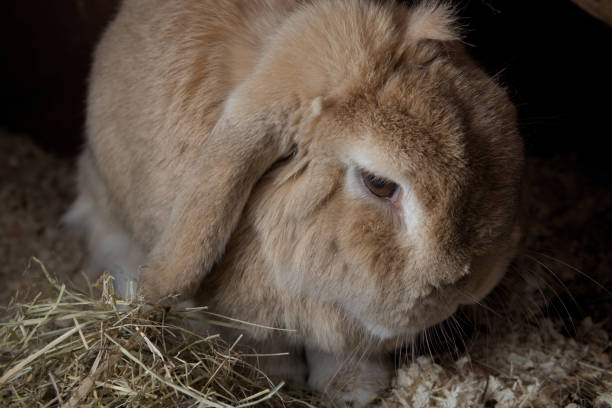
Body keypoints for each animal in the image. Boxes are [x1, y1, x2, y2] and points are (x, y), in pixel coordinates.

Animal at [67, 0, 524, 402]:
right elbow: (267, 349)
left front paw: (354, 391)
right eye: (379, 184)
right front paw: (278, 382)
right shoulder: (248, 319)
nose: (470, 282)